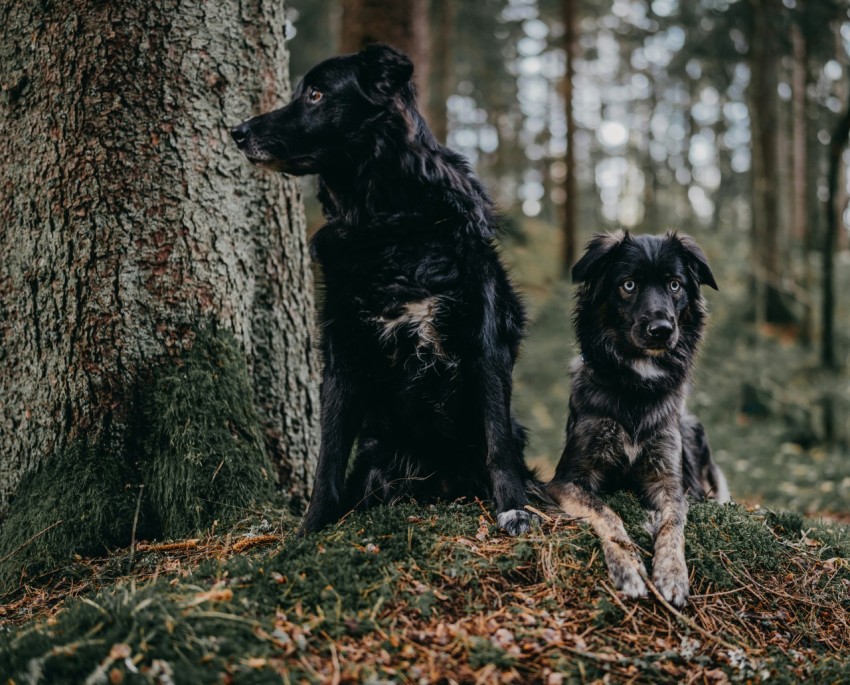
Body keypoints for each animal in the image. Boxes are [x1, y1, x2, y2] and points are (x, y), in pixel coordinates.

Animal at [230, 45, 536, 536]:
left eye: (316, 94)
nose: (237, 132)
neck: (387, 223)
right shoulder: (341, 354)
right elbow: (329, 456)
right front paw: (311, 528)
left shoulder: (483, 342)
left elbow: (497, 442)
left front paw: (514, 508)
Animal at [548, 232, 728, 608]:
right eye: (628, 285)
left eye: (675, 284)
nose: (661, 329)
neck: (636, 387)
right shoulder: (567, 479)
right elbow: (605, 512)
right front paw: (628, 567)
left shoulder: (670, 483)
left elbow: (673, 525)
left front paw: (672, 574)